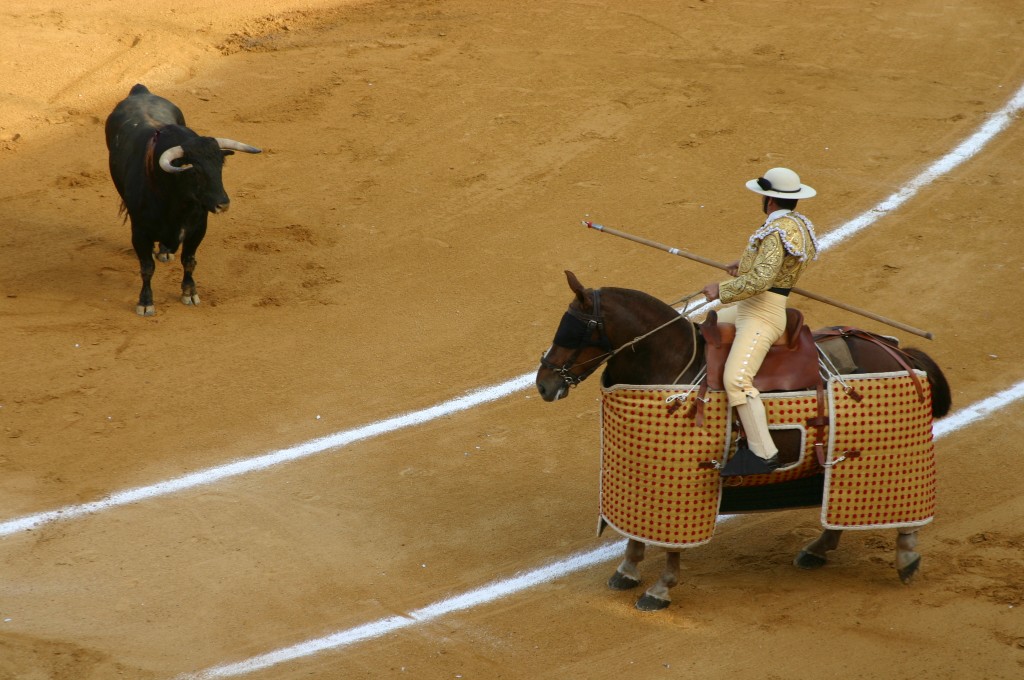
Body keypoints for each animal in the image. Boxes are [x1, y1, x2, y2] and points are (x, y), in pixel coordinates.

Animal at [103, 84, 260, 315]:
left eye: (220, 165)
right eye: (194, 170)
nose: (223, 204)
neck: (177, 202)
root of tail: (140, 91)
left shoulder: (198, 228)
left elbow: (189, 261)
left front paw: (189, 292)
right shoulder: (139, 232)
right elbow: (147, 268)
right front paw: (145, 302)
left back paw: (165, 251)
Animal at [536, 270, 950, 610]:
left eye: (575, 330)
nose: (543, 384)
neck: (672, 362)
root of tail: (896, 350)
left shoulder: (686, 479)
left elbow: (670, 544)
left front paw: (660, 590)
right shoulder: (644, 467)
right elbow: (637, 530)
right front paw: (626, 571)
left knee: (900, 507)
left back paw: (906, 558)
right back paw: (816, 551)